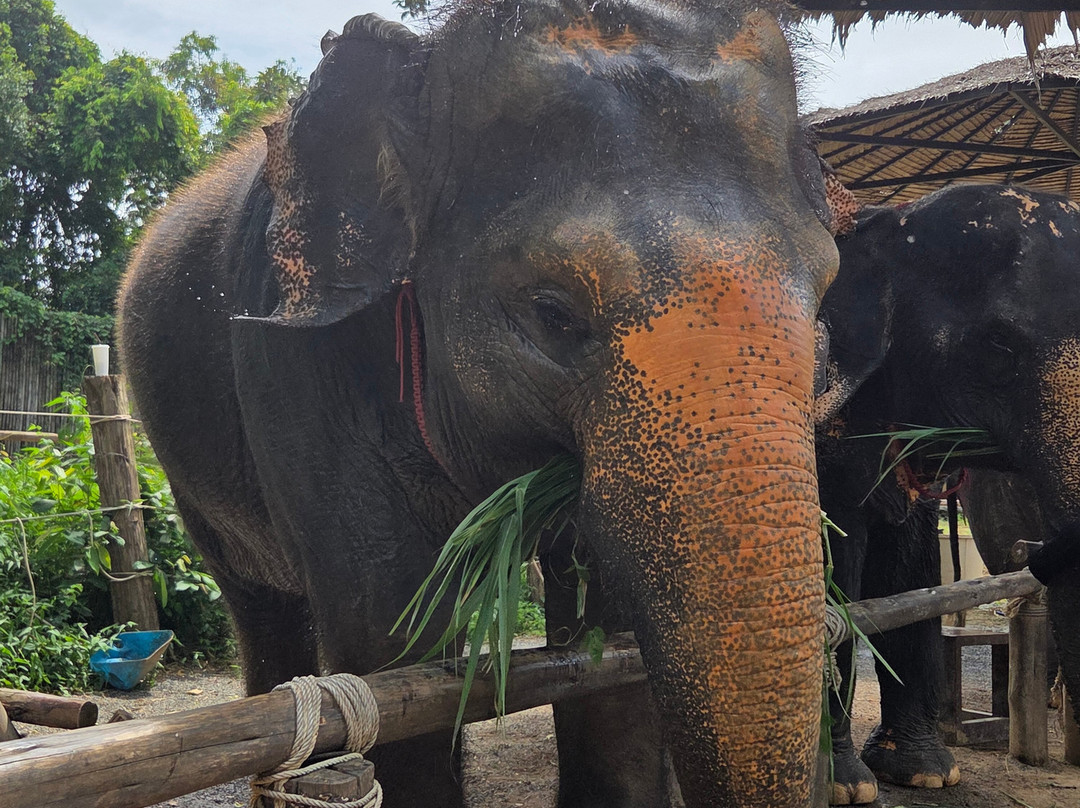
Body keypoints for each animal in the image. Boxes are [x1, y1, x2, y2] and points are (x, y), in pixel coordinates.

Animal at [116, 2, 840, 807]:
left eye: (825, 296)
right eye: (553, 313)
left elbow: (612, 646)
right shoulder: (296, 363)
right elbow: (389, 640)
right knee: (263, 608)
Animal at [813, 182, 1080, 804]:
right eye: (1000, 349)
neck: (885, 220)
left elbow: (910, 563)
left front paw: (926, 773)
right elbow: (838, 556)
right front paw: (846, 787)